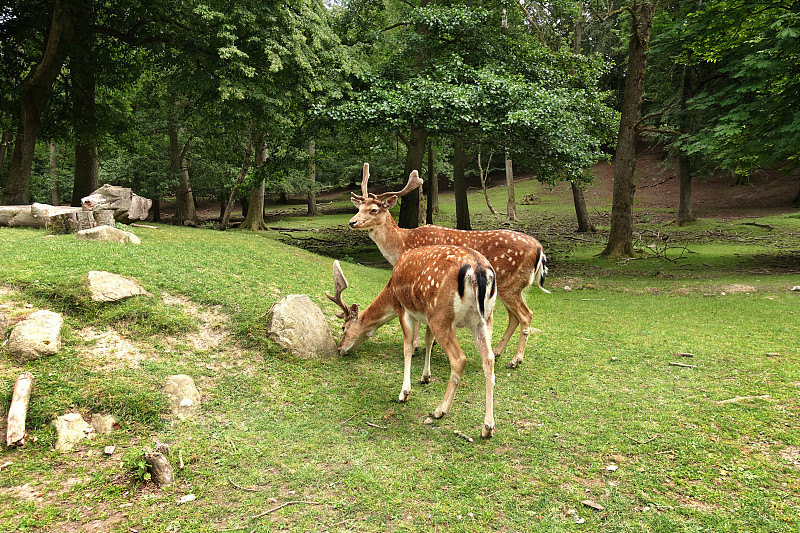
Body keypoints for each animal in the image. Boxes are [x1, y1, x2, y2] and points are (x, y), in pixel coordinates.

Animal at [328, 245, 496, 436]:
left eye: (344, 327)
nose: (339, 349)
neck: (391, 290)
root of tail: (478, 270)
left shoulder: (403, 308)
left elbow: (408, 347)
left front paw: (404, 393)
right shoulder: (426, 316)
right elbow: (428, 341)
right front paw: (425, 377)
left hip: (442, 316)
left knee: (459, 359)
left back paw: (440, 410)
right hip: (482, 319)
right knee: (489, 359)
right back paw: (488, 427)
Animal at [350, 163, 552, 370]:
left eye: (374, 209)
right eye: (359, 207)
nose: (352, 222)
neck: (402, 244)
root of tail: (540, 249)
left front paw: (415, 347)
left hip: (511, 284)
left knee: (526, 315)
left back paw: (516, 359)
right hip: (509, 288)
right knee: (514, 317)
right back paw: (497, 352)